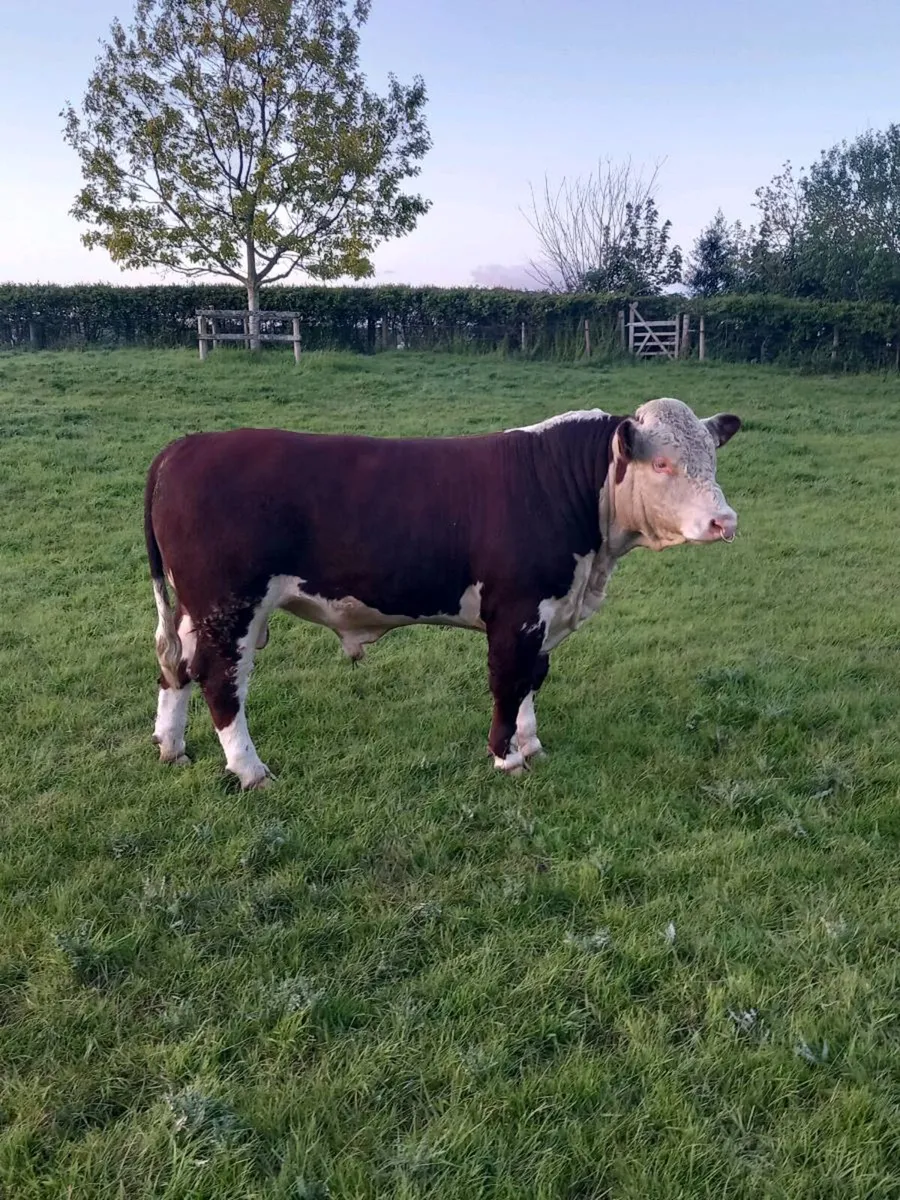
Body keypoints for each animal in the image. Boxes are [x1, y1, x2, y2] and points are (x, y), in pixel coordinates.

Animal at [145, 397, 741, 789]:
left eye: (711, 459)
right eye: (662, 462)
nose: (725, 521)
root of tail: (187, 445)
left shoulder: (547, 614)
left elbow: (532, 681)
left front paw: (533, 747)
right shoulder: (516, 613)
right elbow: (508, 683)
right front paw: (506, 758)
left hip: (195, 609)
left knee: (177, 667)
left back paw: (172, 748)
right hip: (230, 605)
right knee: (220, 680)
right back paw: (250, 771)